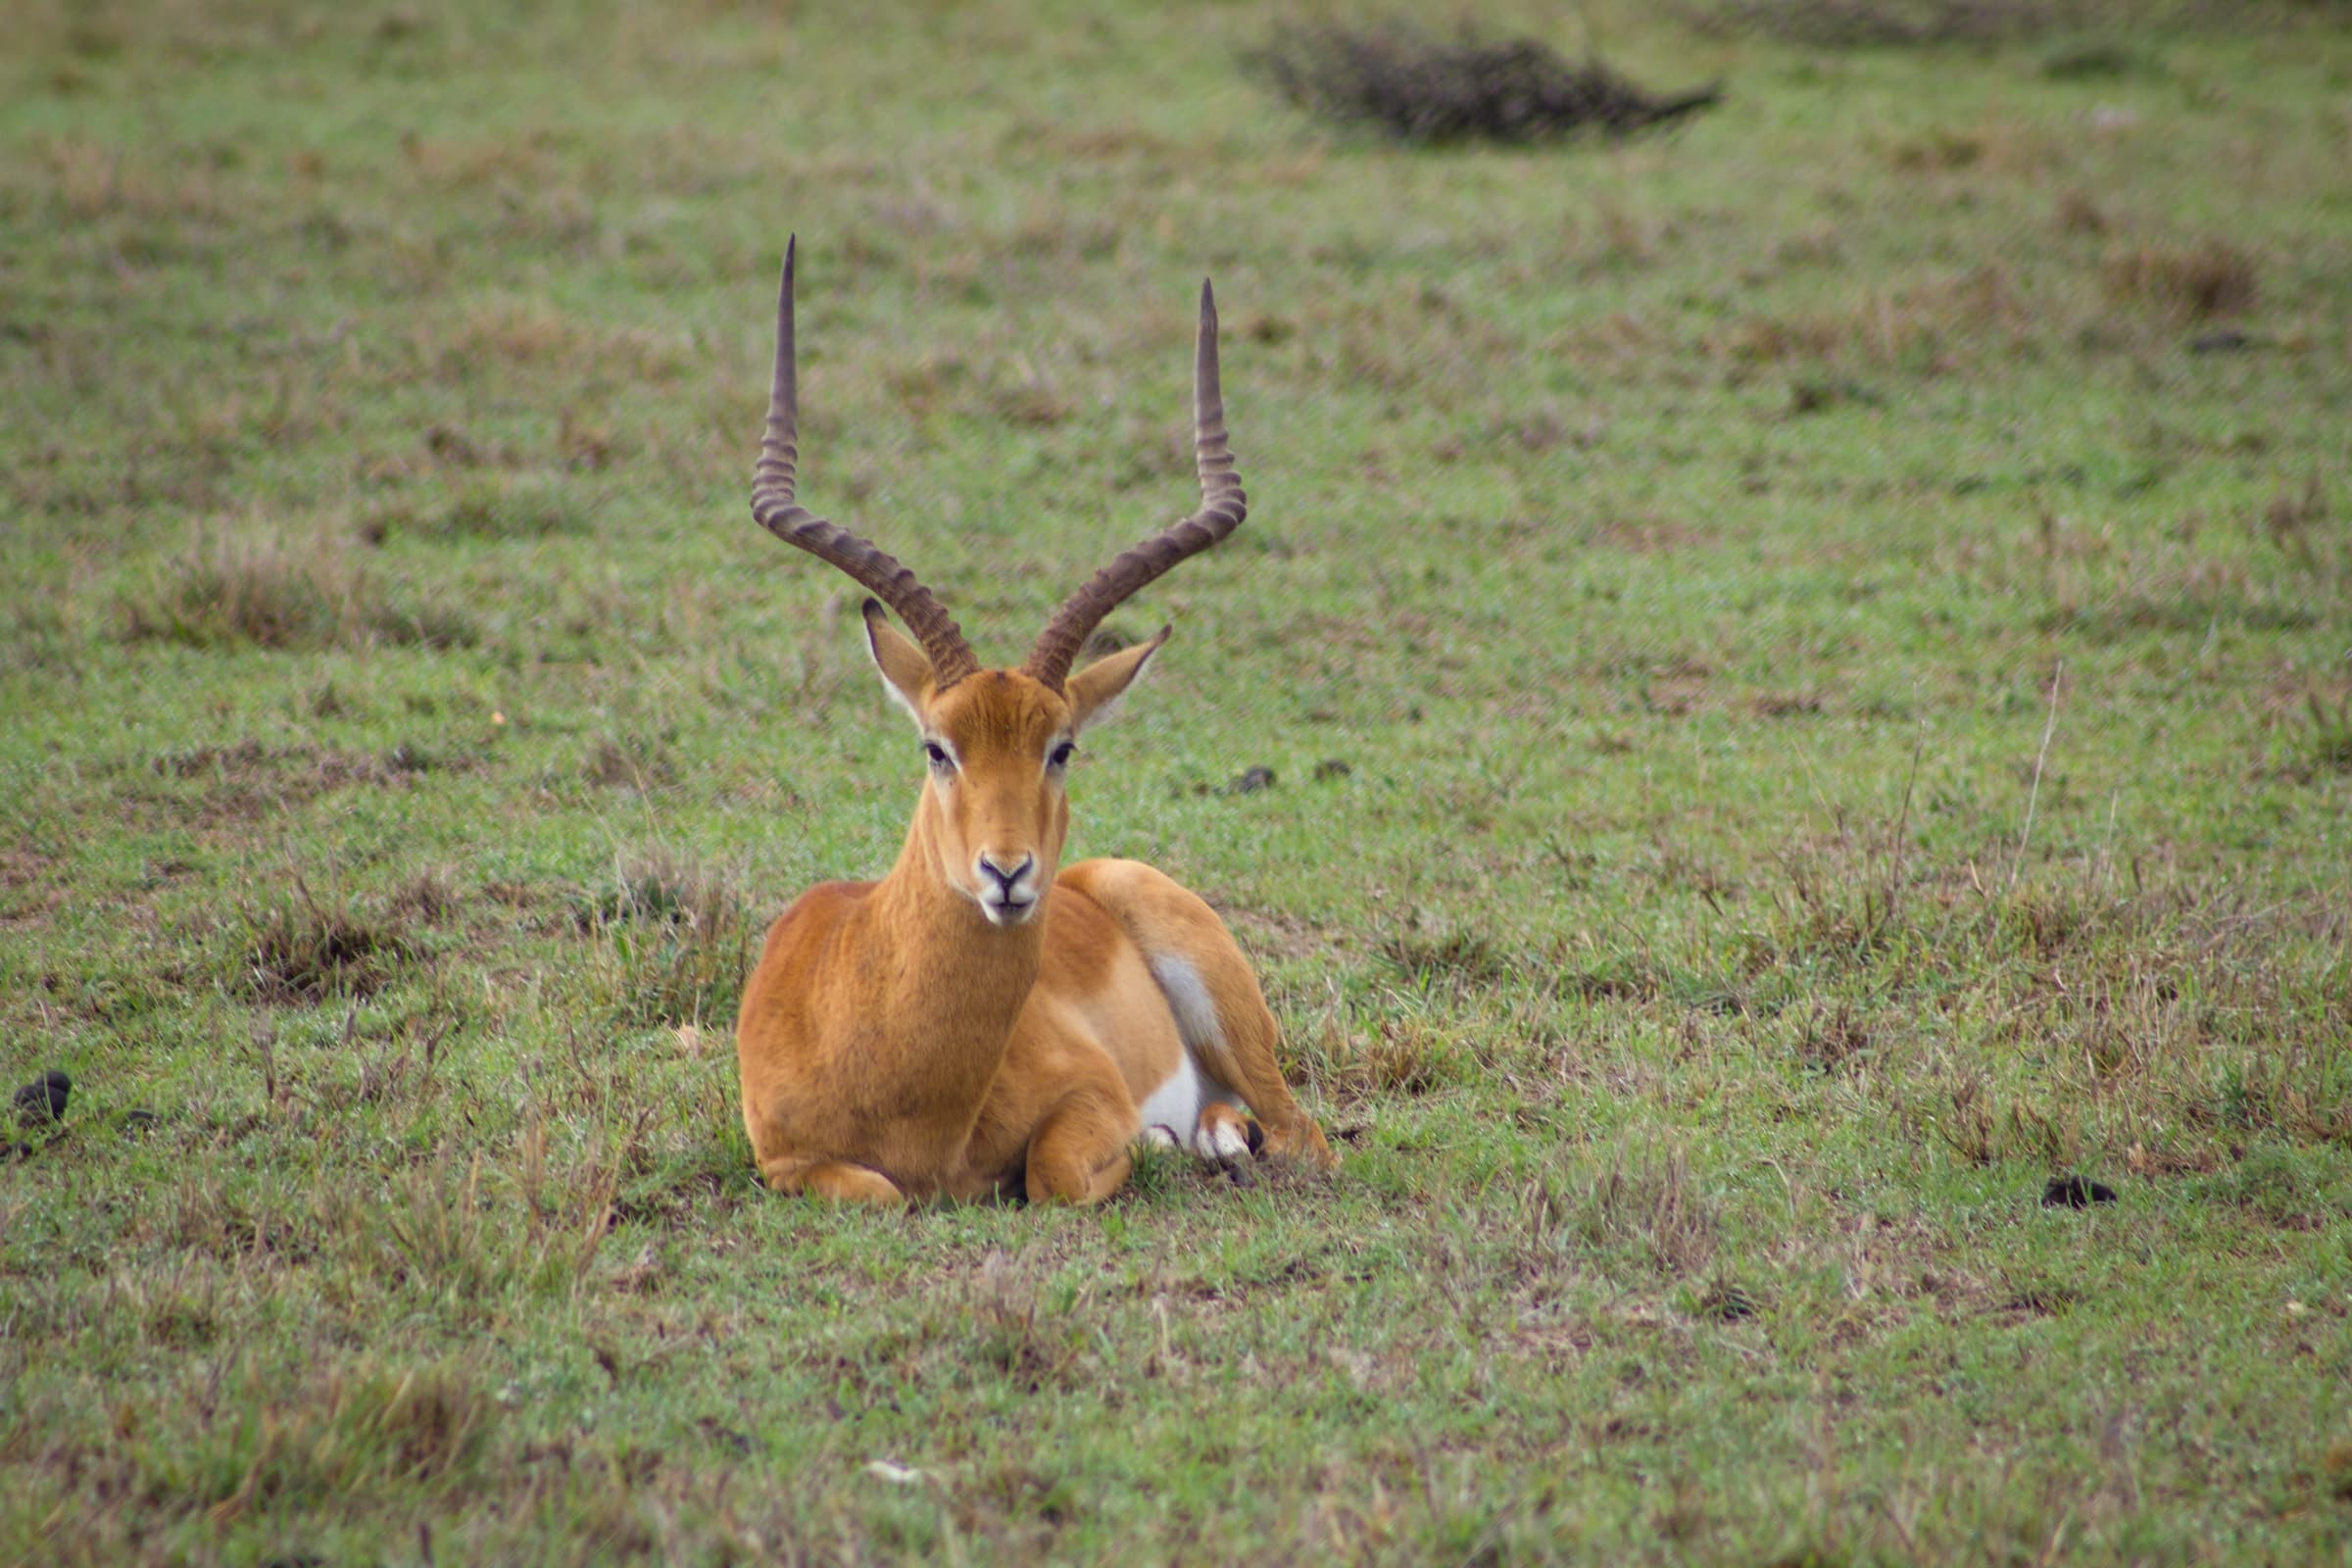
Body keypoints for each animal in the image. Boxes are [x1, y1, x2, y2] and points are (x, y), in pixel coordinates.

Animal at [733, 241, 1337, 1204]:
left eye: (1063, 748)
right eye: (936, 747)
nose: (1008, 873)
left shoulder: (1091, 1099)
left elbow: (1052, 1173)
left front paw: (1147, 1146)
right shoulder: (785, 1161)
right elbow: (881, 1191)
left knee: (1300, 1134)